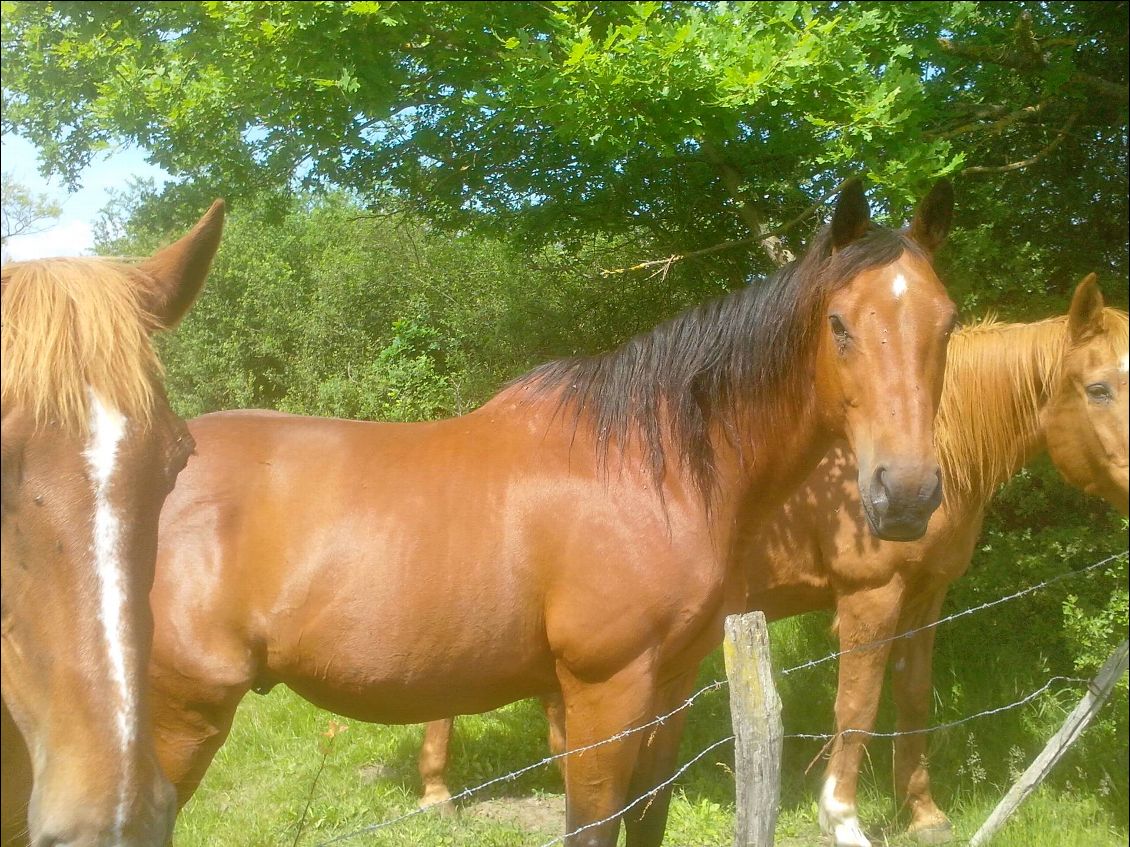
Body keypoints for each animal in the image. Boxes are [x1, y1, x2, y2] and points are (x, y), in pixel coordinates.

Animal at [150, 180, 958, 847]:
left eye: (947, 323)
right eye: (840, 323)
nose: (906, 494)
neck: (645, 469)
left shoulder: (671, 688)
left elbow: (647, 819)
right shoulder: (605, 694)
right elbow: (594, 826)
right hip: (176, 720)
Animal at [418, 275, 1130, 844]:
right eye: (1098, 388)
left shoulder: (926, 597)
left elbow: (913, 697)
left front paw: (924, 813)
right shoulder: (870, 596)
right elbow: (857, 708)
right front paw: (843, 819)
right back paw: (437, 795)